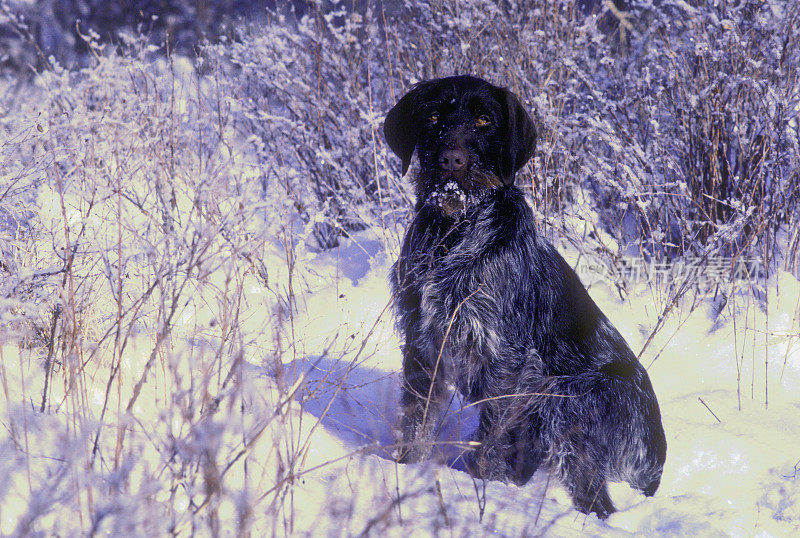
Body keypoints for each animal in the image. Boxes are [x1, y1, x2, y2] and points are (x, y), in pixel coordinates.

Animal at [384, 75, 664, 516]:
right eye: (432, 116)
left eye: (484, 119)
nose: (451, 161)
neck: (453, 231)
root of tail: (655, 467)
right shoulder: (422, 339)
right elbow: (416, 420)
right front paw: (406, 470)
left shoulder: (506, 360)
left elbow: (490, 442)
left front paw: (482, 491)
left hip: (570, 398)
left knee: (597, 502)